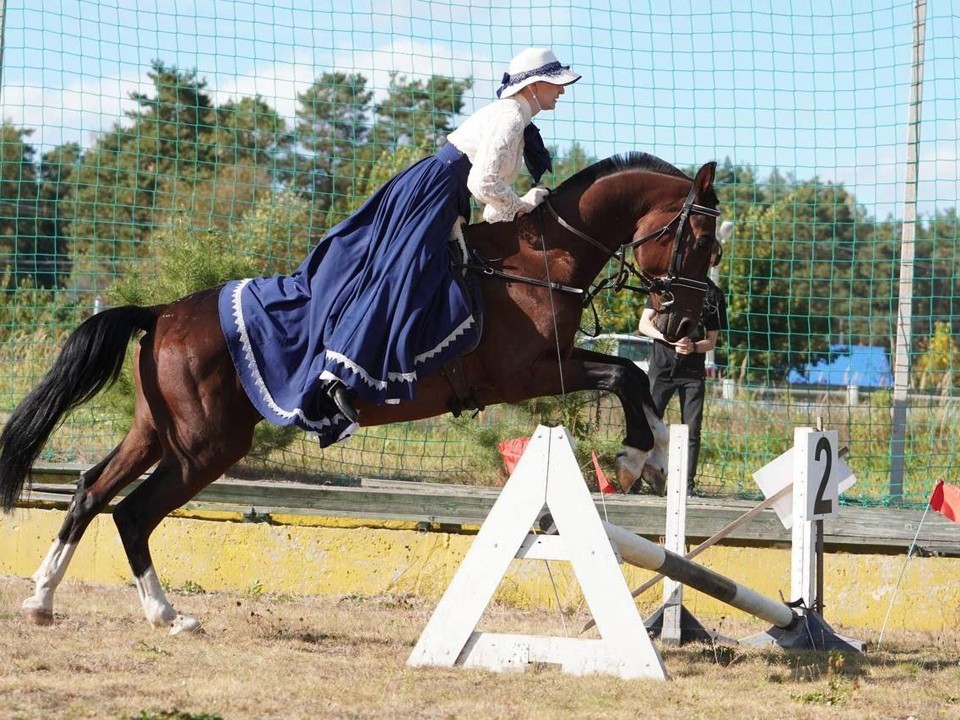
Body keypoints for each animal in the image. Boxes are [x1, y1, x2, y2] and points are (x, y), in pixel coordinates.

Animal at [0, 150, 720, 632]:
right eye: (701, 240)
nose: (690, 327)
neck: (538, 261)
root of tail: (162, 313)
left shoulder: (551, 366)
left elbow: (628, 375)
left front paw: (658, 452)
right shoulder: (530, 372)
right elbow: (626, 374)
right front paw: (639, 453)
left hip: (161, 432)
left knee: (92, 489)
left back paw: (43, 598)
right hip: (206, 444)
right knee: (133, 511)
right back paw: (165, 613)